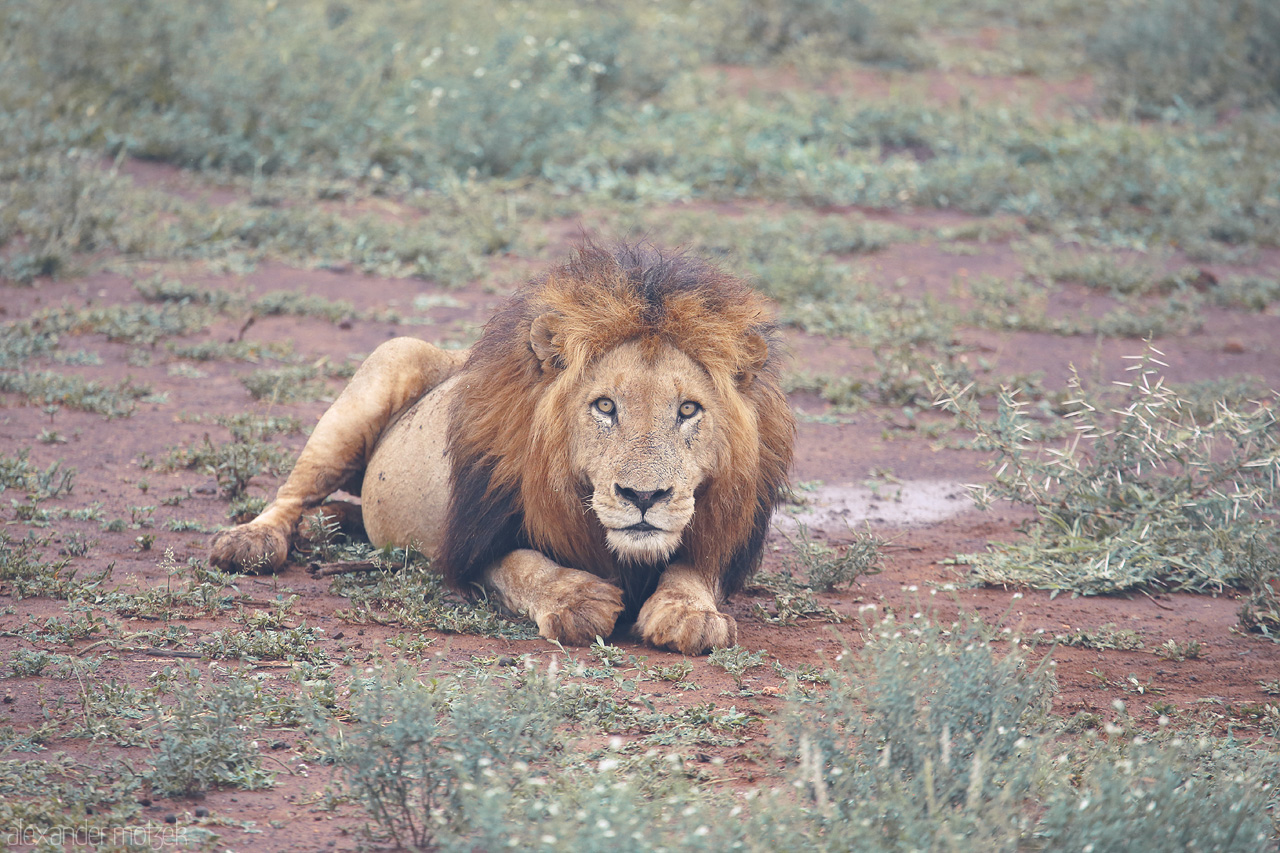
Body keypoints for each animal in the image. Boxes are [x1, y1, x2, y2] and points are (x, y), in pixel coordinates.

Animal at [208, 242, 788, 653]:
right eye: (604, 406)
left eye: (688, 410)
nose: (643, 497)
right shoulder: (471, 544)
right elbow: (525, 567)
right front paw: (579, 599)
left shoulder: (722, 535)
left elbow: (693, 572)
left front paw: (691, 613)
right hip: (387, 365)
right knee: (292, 492)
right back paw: (254, 541)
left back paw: (323, 526)